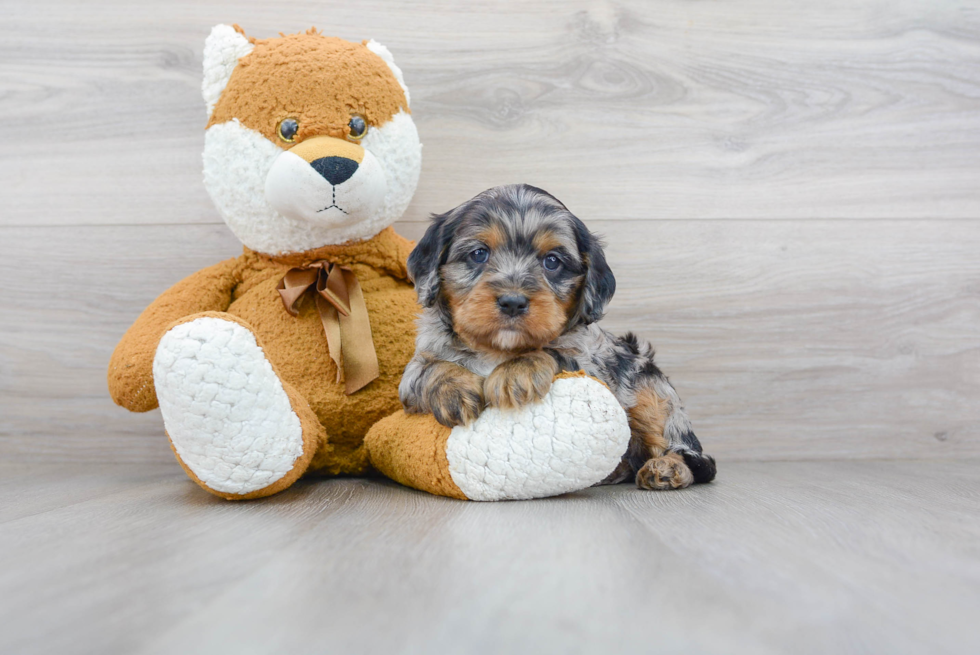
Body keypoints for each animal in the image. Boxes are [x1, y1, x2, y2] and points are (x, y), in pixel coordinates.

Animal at [396, 182, 712, 490]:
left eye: (552, 261)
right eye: (478, 254)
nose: (513, 302)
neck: (497, 350)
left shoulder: (592, 366)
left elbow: (553, 351)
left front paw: (516, 372)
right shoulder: (414, 371)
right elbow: (430, 368)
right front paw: (454, 390)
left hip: (652, 392)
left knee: (690, 453)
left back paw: (668, 468)